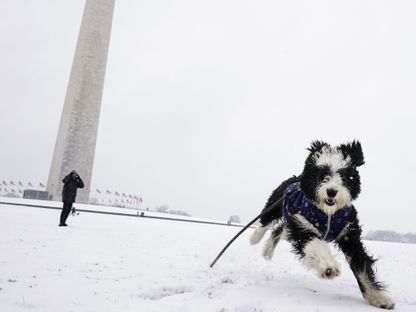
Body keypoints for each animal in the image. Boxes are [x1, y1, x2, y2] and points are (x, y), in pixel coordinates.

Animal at [249, 141, 394, 310]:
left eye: (344, 176)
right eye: (322, 176)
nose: (331, 191)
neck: (328, 214)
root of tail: (295, 178)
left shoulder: (349, 235)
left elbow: (361, 265)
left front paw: (378, 298)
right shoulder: (303, 224)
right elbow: (316, 244)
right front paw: (328, 267)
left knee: (280, 230)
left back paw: (267, 251)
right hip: (275, 206)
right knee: (265, 221)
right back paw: (255, 238)